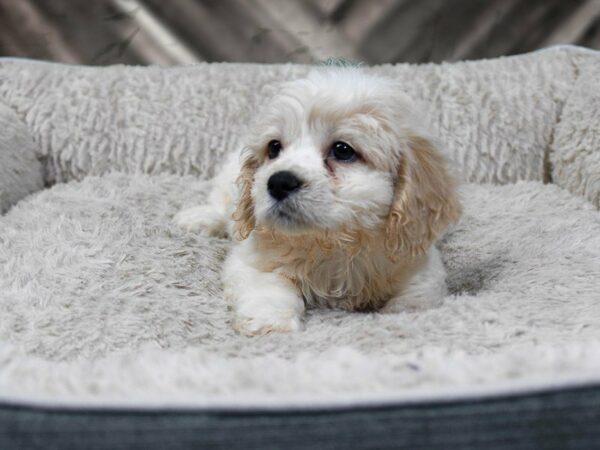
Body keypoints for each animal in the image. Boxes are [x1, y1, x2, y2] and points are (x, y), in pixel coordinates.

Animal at [176, 66, 462, 334]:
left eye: (343, 150)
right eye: (274, 148)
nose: (278, 182)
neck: (332, 243)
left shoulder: (421, 267)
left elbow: (416, 299)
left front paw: (402, 317)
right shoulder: (251, 261)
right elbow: (269, 288)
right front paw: (270, 322)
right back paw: (198, 220)